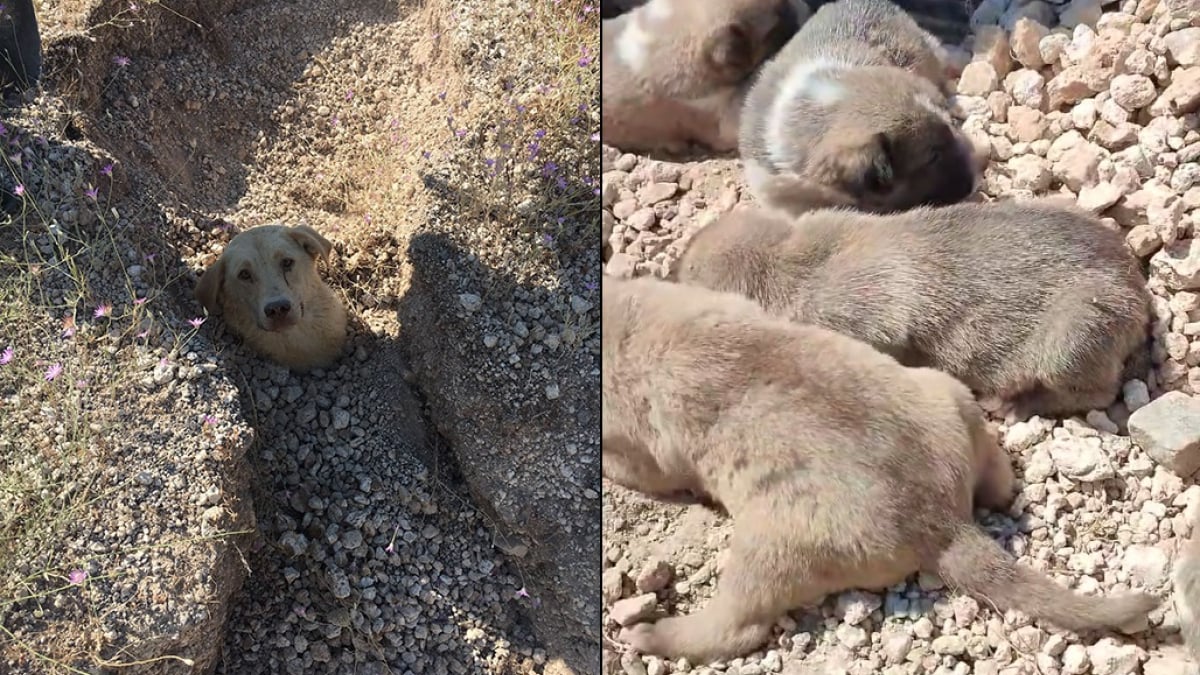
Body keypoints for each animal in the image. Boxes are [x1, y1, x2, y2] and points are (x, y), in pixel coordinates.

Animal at [604, 275, 1156, 662]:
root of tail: (945, 522)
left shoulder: (646, 448)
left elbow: (635, 467)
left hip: (768, 551)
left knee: (737, 625)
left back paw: (652, 634)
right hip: (945, 391)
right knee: (994, 468)